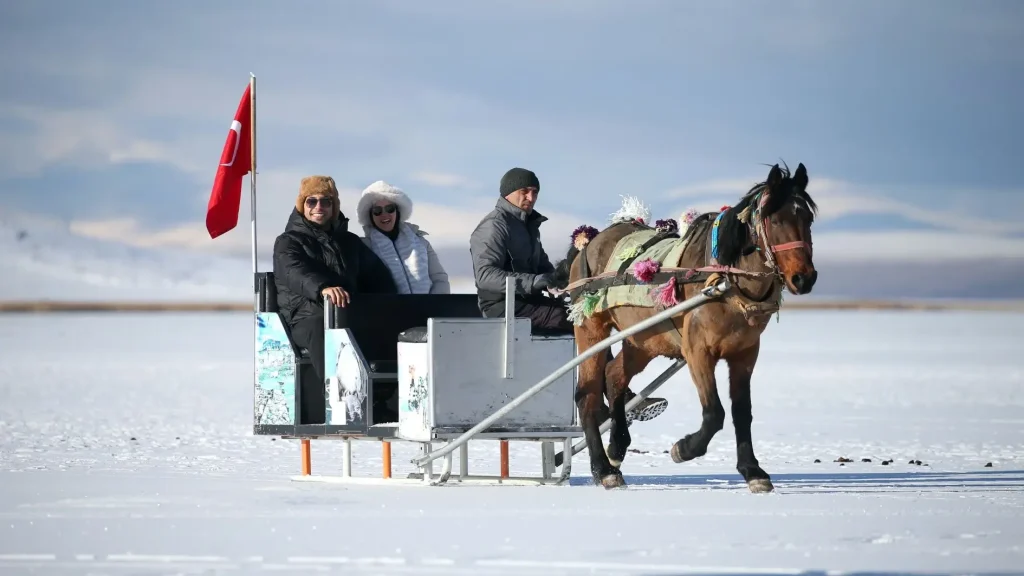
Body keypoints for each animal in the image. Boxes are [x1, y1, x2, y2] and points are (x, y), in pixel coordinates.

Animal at [550, 162, 817, 491]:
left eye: (808, 218)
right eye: (777, 219)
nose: (804, 278)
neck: (724, 281)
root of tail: (589, 242)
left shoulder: (745, 353)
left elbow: (742, 412)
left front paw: (753, 470)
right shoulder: (698, 351)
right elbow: (714, 412)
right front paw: (685, 448)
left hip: (642, 339)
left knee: (614, 377)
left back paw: (617, 448)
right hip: (591, 328)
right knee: (587, 395)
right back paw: (603, 469)